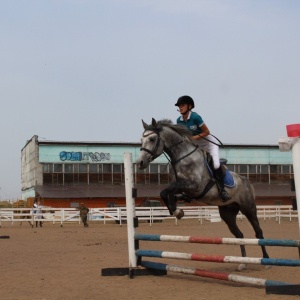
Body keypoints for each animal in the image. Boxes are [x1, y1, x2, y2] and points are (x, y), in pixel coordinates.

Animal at [137, 118, 270, 270]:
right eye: (141, 140)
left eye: (152, 139)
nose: (140, 163)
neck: (182, 157)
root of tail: (245, 180)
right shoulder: (183, 188)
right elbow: (166, 193)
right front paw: (177, 211)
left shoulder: (195, 186)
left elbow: (165, 192)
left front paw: (177, 212)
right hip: (227, 213)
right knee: (239, 235)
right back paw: (243, 262)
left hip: (248, 208)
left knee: (258, 231)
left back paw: (266, 261)